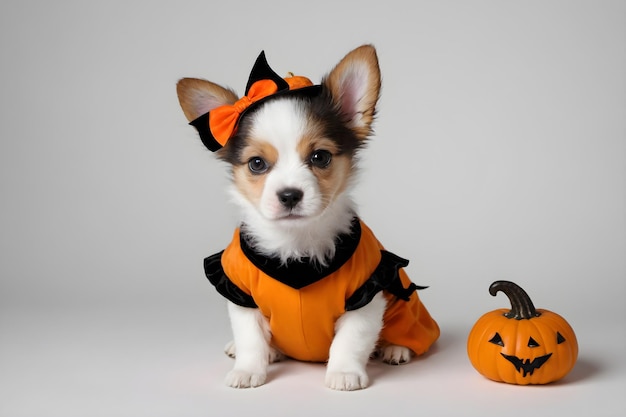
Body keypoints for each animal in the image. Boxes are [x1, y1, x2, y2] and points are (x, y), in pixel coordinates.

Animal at [176, 44, 438, 388]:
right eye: (257, 164)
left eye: (320, 157)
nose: (289, 195)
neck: (296, 242)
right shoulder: (240, 295)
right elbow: (250, 339)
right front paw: (248, 369)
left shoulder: (367, 296)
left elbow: (350, 340)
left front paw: (344, 372)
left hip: (402, 305)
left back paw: (396, 349)